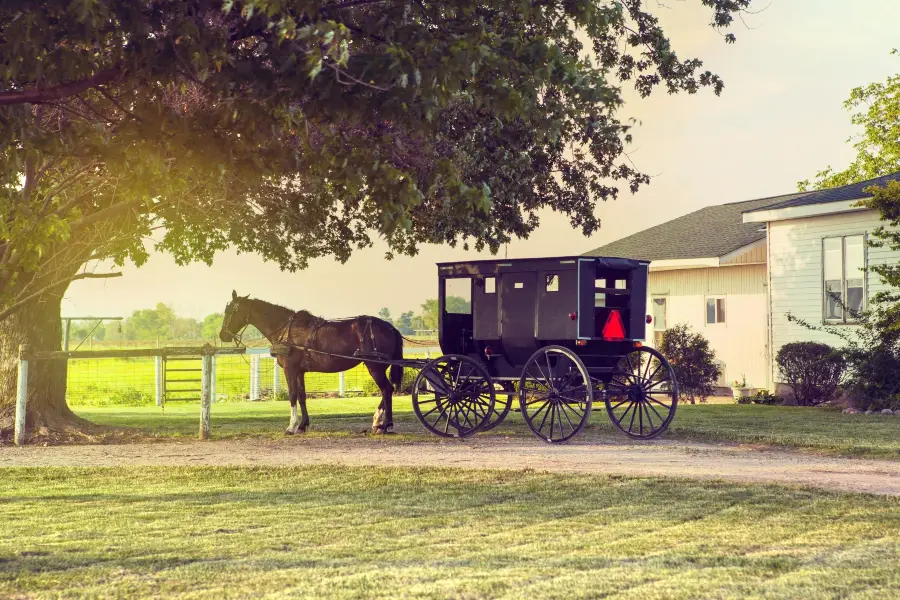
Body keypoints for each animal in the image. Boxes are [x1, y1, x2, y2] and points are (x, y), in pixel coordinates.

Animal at [220, 292, 402, 434]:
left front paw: (291, 426)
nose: (222, 335)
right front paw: (302, 425)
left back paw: (385, 425)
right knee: (387, 391)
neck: (287, 330)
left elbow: (292, 394)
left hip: (375, 367)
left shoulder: (290, 369)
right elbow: (302, 395)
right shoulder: (299, 371)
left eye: (230, 311)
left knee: (386, 390)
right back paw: (377, 422)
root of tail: (390, 327)